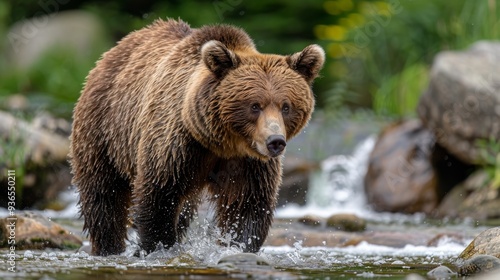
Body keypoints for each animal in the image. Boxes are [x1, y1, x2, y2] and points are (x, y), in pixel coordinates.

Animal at [70, 19, 326, 256]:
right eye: (255, 105)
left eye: (286, 106)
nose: (275, 141)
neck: (221, 142)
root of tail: (114, 50)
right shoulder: (175, 145)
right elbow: (158, 196)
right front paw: (158, 246)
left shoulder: (248, 163)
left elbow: (248, 205)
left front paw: (237, 246)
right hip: (104, 130)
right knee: (103, 196)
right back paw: (108, 246)